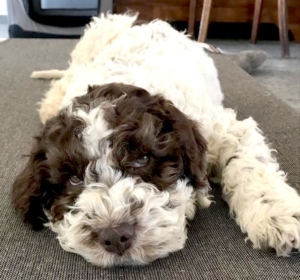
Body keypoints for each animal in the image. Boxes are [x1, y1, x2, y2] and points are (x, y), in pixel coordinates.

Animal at [11, 13, 300, 266]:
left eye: (142, 158)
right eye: (73, 179)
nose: (114, 235)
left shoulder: (222, 128)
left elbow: (250, 164)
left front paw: (277, 215)